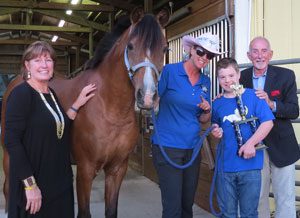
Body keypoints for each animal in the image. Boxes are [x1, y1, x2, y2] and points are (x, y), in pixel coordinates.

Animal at [0, 7, 169, 218]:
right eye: (130, 46)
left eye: (165, 49)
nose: (147, 97)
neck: (110, 108)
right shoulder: (85, 170)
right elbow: (84, 212)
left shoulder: (117, 169)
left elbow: (111, 210)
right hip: (9, 154)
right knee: (8, 188)